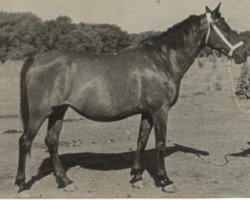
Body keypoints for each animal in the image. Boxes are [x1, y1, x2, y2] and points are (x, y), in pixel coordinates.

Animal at [14, 2, 247, 191]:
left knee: (52, 142)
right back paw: (21, 184)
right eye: (224, 27)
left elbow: (141, 141)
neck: (162, 60)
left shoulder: (147, 112)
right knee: (25, 141)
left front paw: (136, 178)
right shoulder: (160, 110)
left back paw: (65, 182)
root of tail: (36, 58)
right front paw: (165, 181)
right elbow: (160, 143)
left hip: (58, 111)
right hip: (39, 113)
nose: (243, 54)